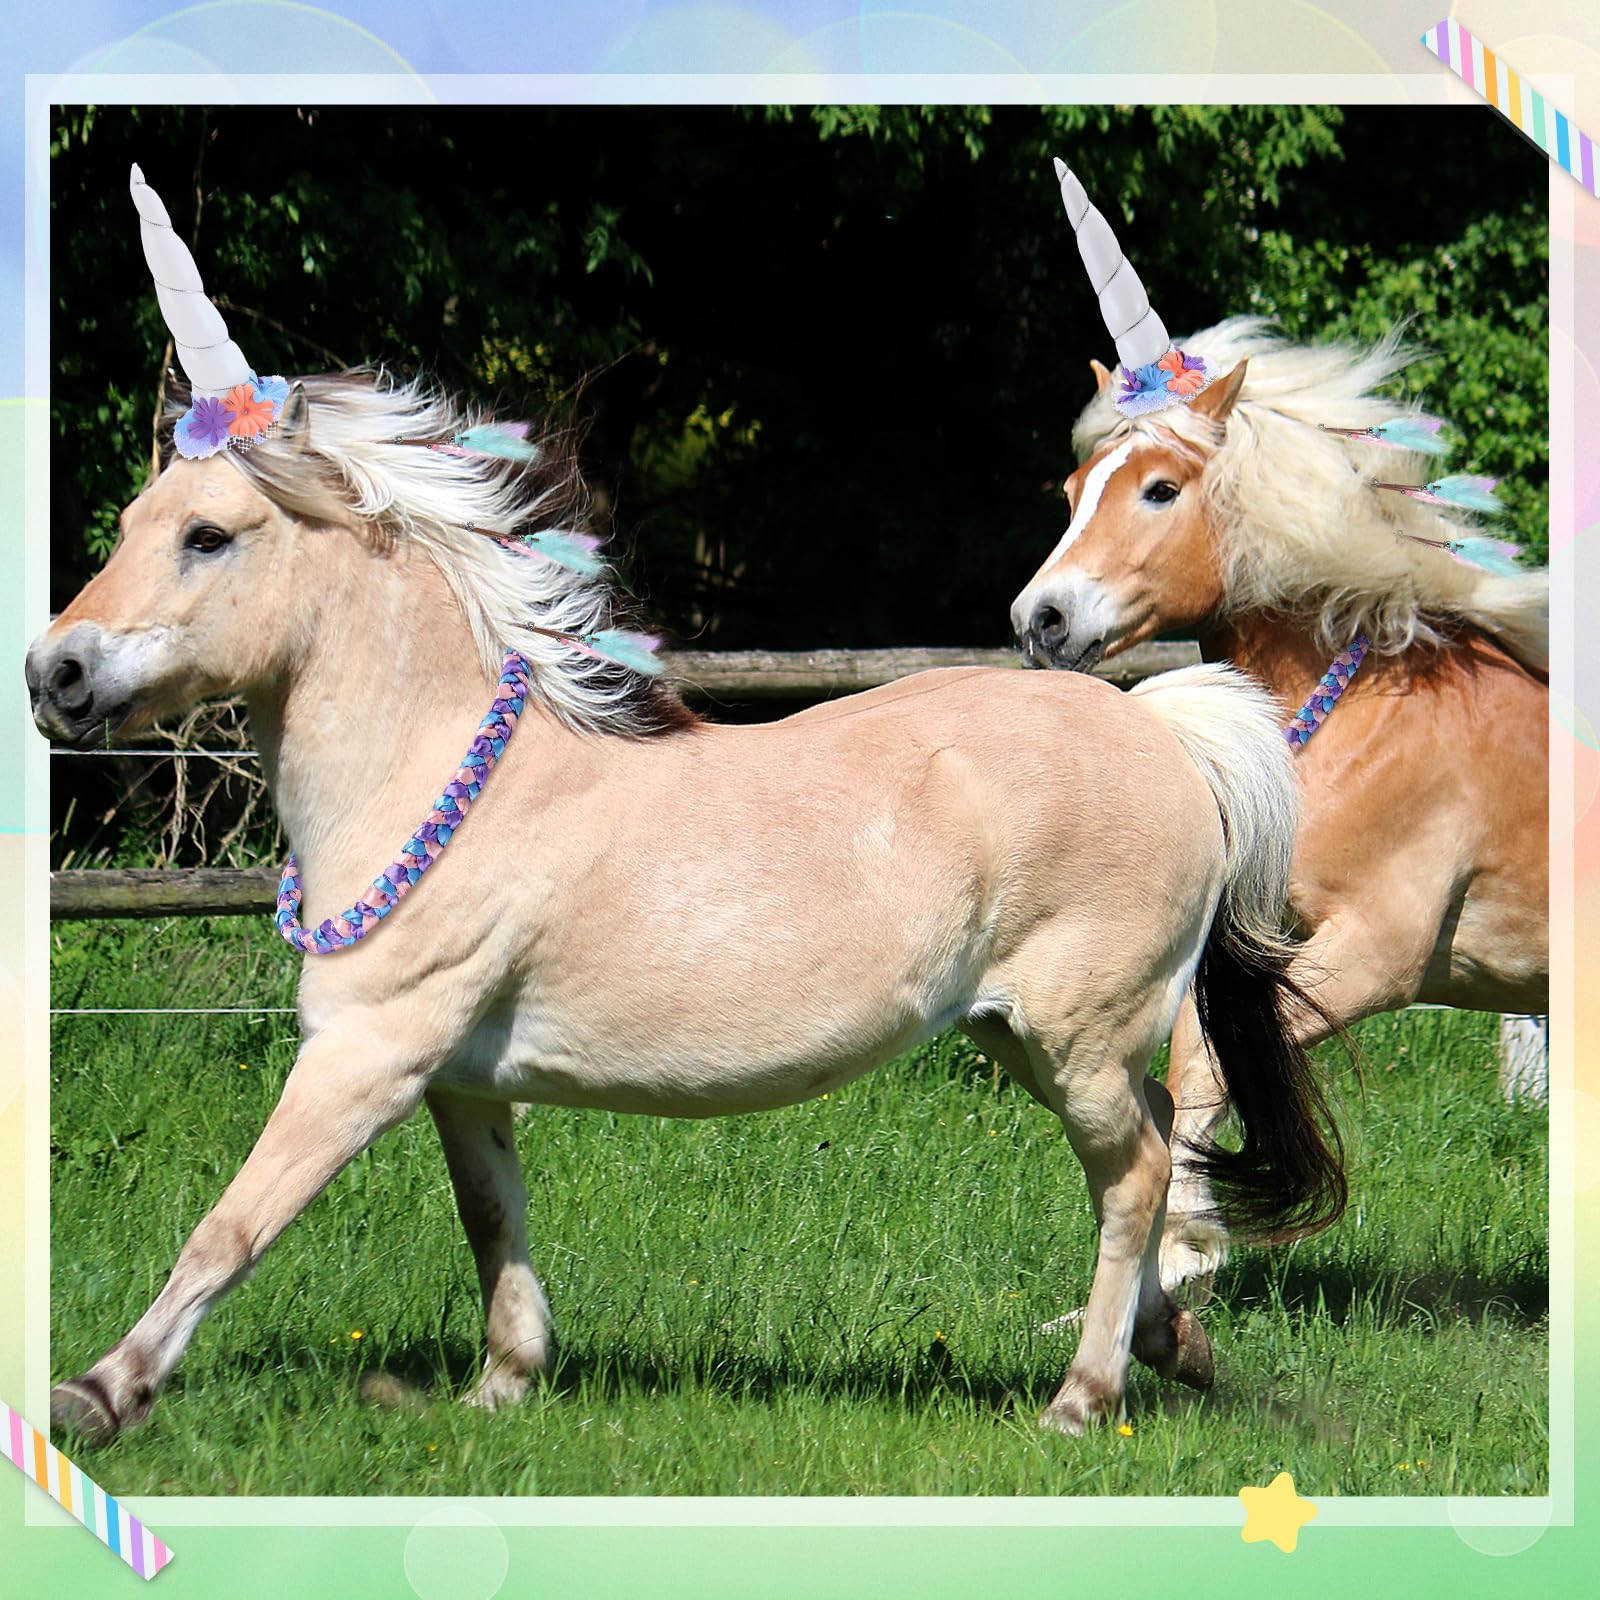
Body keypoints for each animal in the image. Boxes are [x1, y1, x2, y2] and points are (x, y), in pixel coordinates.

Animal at [29, 368, 1348, 1443]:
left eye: (208, 535)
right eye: (132, 525)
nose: (56, 675)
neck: (444, 780)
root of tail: (1166, 732)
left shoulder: (367, 1056)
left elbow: (232, 1224)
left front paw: (98, 1393)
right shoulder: (459, 1082)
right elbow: (490, 1218)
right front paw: (504, 1383)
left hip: (1074, 1038)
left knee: (1131, 1174)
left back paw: (1081, 1398)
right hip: (1025, 1038)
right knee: (1149, 1144)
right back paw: (1173, 1345)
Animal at [1010, 316, 1549, 1294]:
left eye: (1160, 488)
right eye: (1072, 490)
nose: (1043, 620)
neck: (1367, 723)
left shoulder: (1378, 951)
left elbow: (1223, 1066)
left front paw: (1187, 1251)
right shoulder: (1255, 943)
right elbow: (1197, 1063)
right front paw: (1175, 1257)